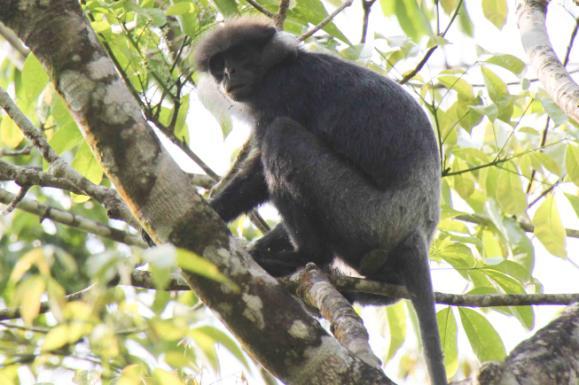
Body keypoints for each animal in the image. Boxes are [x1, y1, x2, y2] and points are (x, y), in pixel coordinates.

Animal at [197, 17, 446, 384]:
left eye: (239, 55)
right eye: (218, 66)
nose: (228, 74)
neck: (281, 65)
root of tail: (416, 231)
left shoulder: (283, 90)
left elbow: (258, 171)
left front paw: (214, 210)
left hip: (363, 214)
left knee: (282, 135)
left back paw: (304, 255)